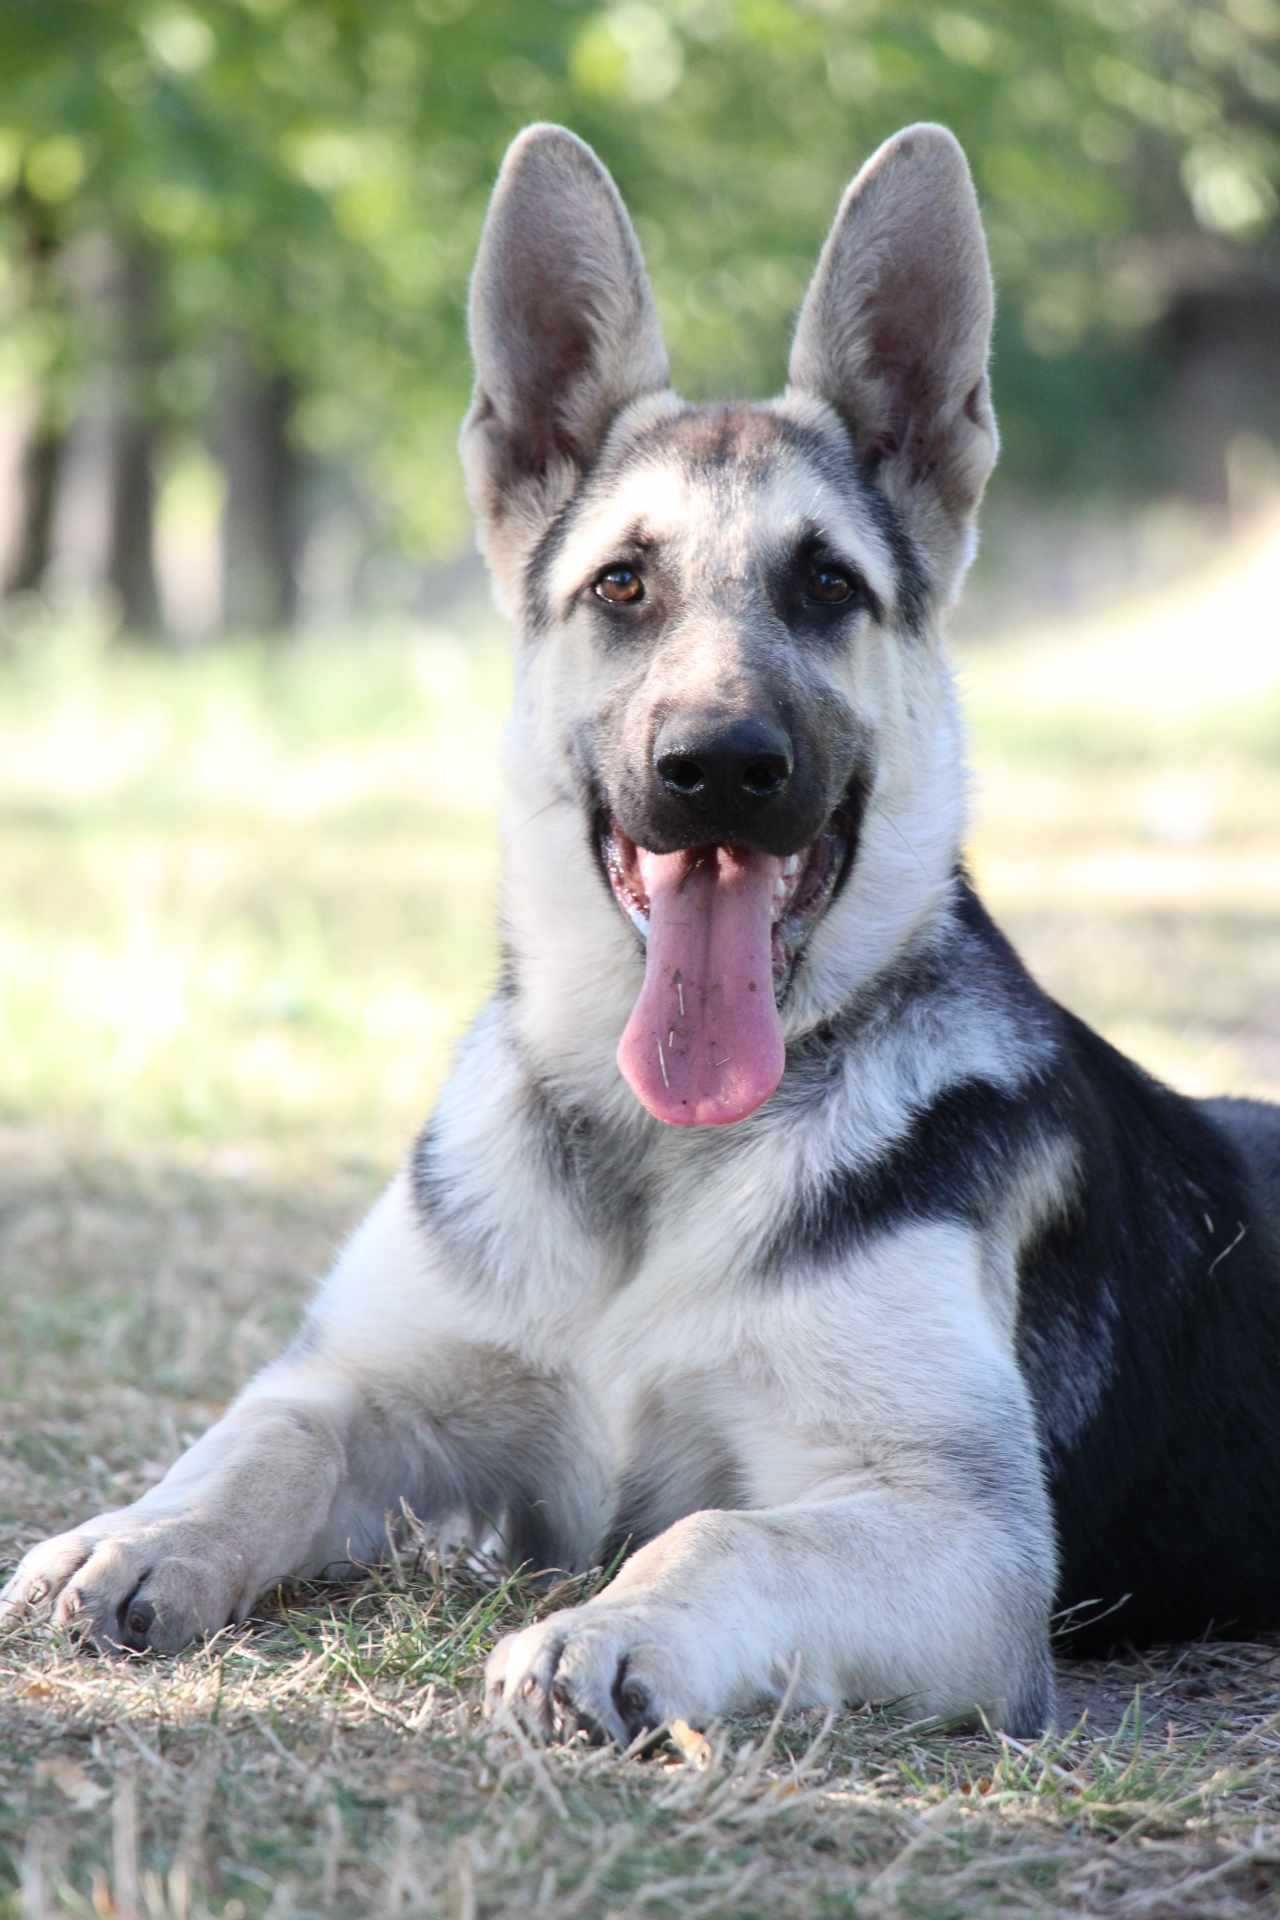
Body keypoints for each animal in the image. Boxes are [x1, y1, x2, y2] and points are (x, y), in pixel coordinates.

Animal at [2, 116, 1280, 1743]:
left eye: (826, 586)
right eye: (622, 584)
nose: (719, 769)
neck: (652, 1157)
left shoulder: (959, 1533)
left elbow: (722, 1529)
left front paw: (606, 1629)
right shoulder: (363, 1381)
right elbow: (258, 1438)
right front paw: (135, 1534)